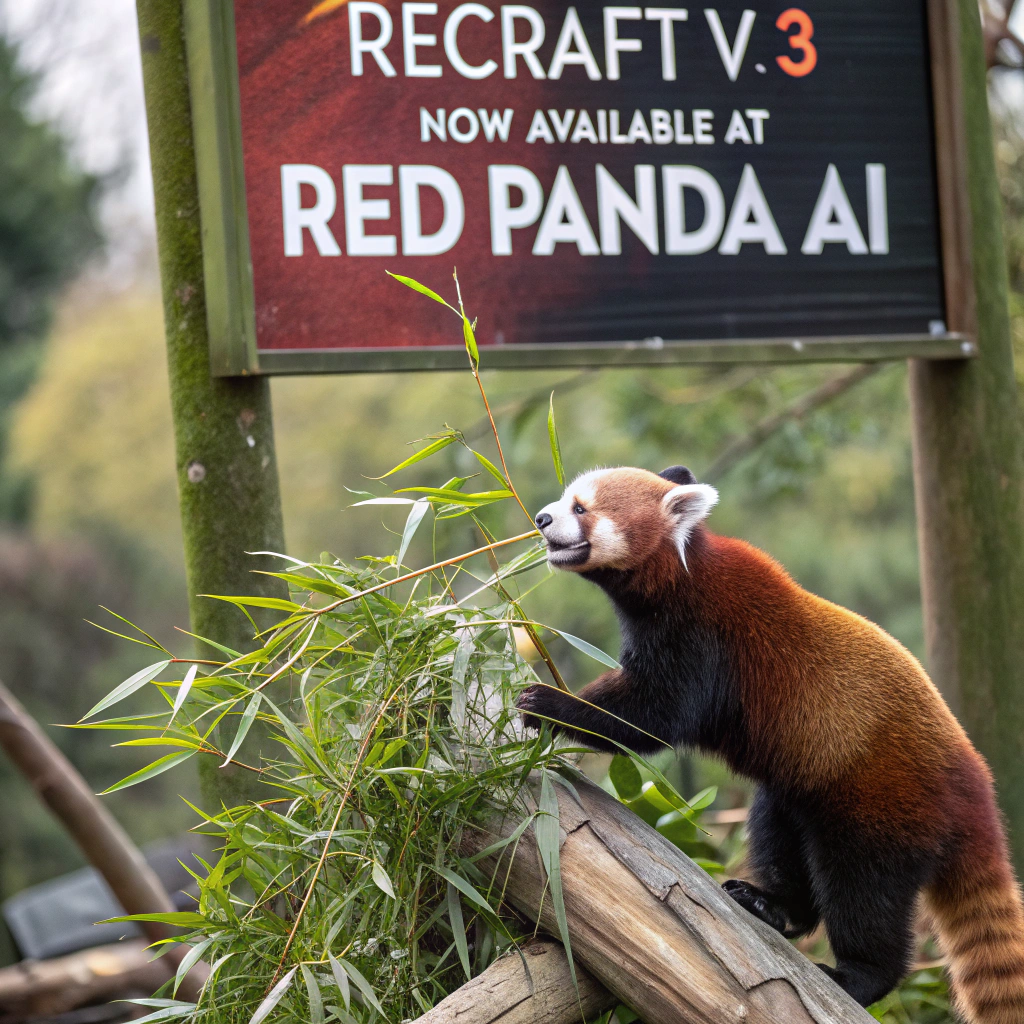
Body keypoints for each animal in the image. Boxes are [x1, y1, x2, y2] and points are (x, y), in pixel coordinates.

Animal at [517, 465, 1024, 1022]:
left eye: (580, 508)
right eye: (565, 499)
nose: (542, 518)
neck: (682, 572)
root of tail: (976, 791)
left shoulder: (703, 640)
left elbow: (650, 718)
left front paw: (550, 703)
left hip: (882, 809)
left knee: (863, 895)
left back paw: (858, 975)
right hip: (800, 790)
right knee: (779, 835)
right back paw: (772, 905)